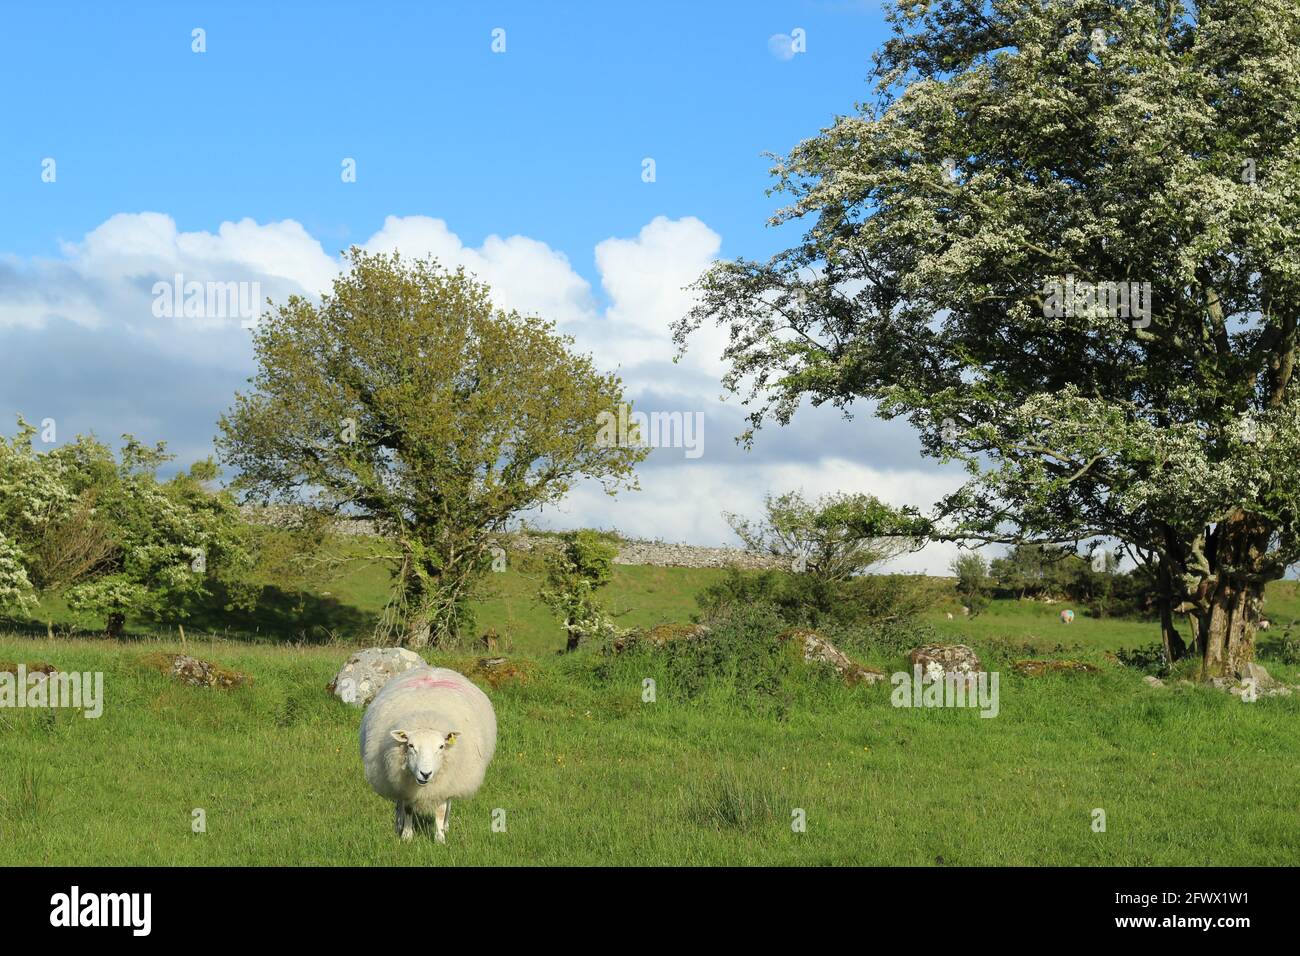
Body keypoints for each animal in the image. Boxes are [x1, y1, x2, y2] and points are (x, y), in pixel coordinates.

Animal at [361, 665, 496, 842]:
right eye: (411, 745)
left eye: (441, 746)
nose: (425, 774)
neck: (426, 719)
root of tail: (433, 669)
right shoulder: (405, 784)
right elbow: (408, 807)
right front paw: (406, 835)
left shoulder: (443, 783)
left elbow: (440, 810)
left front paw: (440, 838)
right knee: (399, 802)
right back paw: (398, 822)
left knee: (448, 803)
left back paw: (446, 825)